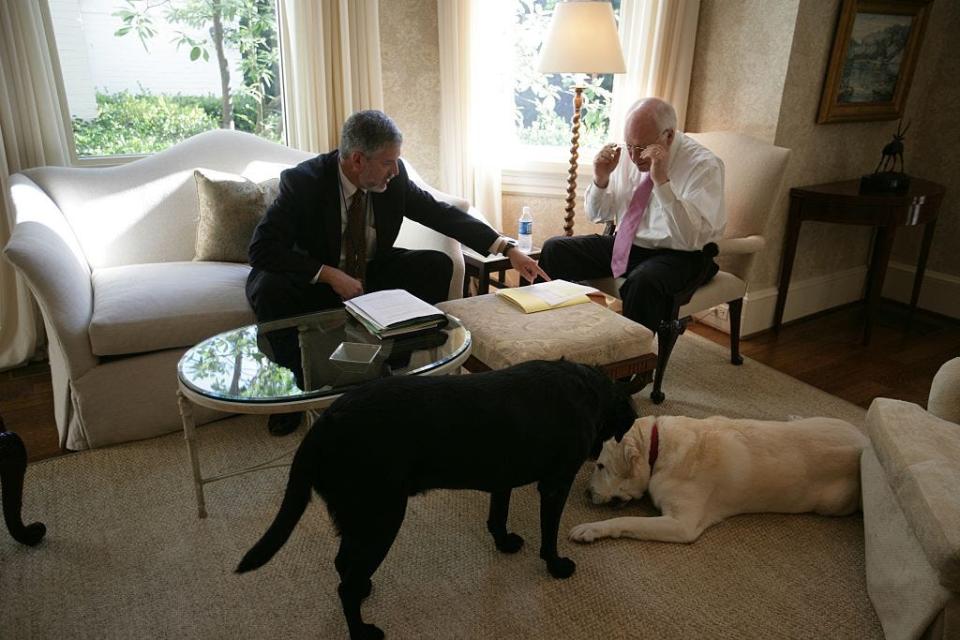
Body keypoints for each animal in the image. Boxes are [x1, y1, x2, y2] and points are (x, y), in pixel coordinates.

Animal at [235, 360, 632, 640]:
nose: (596, 454)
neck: (587, 388)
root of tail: (319, 429)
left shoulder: (502, 477)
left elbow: (497, 516)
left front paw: (504, 543)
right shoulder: (555, 485)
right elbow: (548, 534)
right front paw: (556, 565)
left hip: (360, 517)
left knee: (343, 564)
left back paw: (364, 590)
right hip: (382, 517)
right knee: (344, 584)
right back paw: (362, 630)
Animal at [568, 416, 872, 544]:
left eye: (600, 465)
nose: (586, 493)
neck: (659, 447)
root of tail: (865, 439)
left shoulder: (682, 525)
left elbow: (627, 520)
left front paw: (590, 529)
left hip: (833, 504)